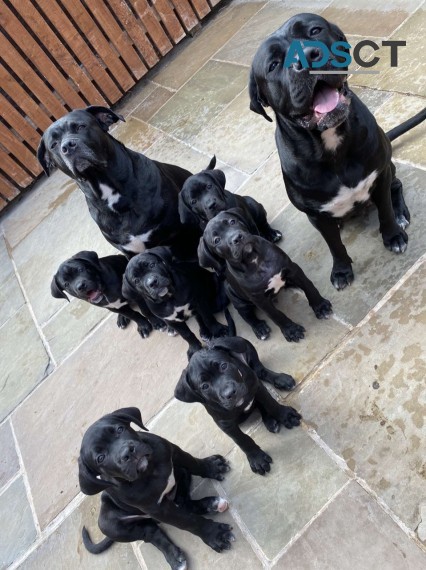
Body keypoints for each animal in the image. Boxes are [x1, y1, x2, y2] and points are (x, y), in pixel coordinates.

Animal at [78, 406, 235, 568]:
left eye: (120, 429)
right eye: (100, 458)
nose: (127, 452)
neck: (149, 470)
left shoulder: (174, 452)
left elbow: (194, 463)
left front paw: (212, 467)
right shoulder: (158, 509)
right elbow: (187, 521)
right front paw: (214, 534)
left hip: (181, 475)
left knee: (183, 503)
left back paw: (212, 504)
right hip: (109, 525)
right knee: (151, 533)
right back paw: (174, 557)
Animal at [175, 336, 302, 472]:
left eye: (223, 366)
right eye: (204, 386)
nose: (230, 393)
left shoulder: (256, 387)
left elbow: (271, 403)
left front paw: (285, 416)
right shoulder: (225, 423)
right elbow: (241, 439)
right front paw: (256, 458)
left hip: (248, 348)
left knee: (260, 371)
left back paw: (281, 380)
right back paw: (269, 420)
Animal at [198, 209, 332, 342]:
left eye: (232, 221)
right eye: (216, 240)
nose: (237, 238)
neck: (255, 259)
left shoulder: (293, 270)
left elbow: (309, 287)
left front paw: (321, 306)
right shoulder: (260, 299)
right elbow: (276, 315)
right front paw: (292, 330)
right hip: (235, 297)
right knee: (247, 316)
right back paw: (259, 328)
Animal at [250, 13, 426, 288]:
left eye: (315, 30)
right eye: (273, 64)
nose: (309, 56)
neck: (330, 144)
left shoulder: (379, 176)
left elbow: (385, 211)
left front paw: (393, 235)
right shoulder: (317, 215)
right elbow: (334, 245)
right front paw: (342, 270)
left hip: (389, 167)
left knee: (395, 187)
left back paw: (400, 214)